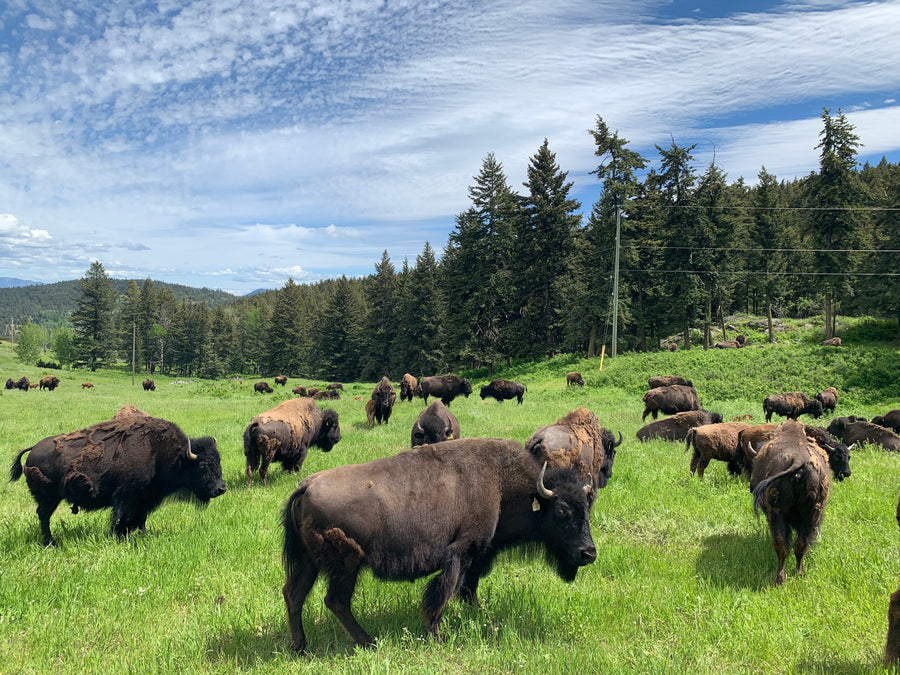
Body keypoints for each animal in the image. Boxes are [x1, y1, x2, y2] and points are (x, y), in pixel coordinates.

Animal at [10, 414, 226, 546]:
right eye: (203, 466)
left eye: (219, 461)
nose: (221, 489)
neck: (166, 455)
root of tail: (32, 450)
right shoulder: (126, 495)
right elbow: (122, 517)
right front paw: (119, 537)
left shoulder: (145, 499)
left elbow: (140, 519)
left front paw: (141, 535)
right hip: (49, 497)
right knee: (44, 515)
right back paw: (51, 543)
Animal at [281, 437, 596, 651]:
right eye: (561, 512)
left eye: (587, 508)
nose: (588, 553)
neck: (501, 482)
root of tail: (305, 486)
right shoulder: (461, 552)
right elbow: (445, 591)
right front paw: (437, 634)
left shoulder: (478, 556)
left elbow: (468, 589)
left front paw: (477, 614)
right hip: (347, 565)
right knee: (336, 601)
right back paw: (368, 641)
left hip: (309, 563)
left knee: (294, 594)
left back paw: (300, 646)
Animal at [750, 420, 831, 585]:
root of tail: (797, 460)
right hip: (809, 514)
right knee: (798, 546)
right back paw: (797, 574)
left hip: (778, 514)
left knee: (784, 545)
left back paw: (781, 578)